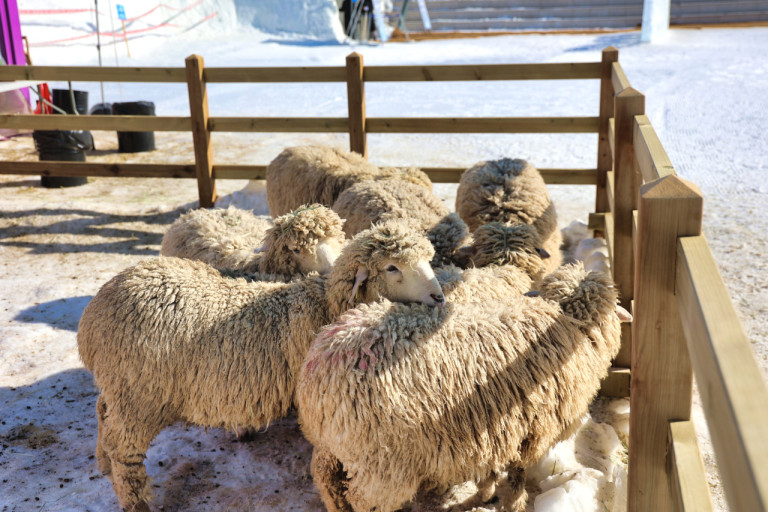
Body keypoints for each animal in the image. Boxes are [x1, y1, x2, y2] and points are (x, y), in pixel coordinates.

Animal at [77, 220, 445, 512]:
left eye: (426, 260)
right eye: (392, 267)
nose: (439, 297)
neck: (325, 305)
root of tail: (94, 315)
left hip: (120, 387)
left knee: (102, 412)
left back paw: (102, 463)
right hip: (139, 396)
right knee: (124, 450)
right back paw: (134, 500)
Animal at [297, 263, 631, 512]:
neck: (567, 325)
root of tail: (322, 366)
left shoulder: (494, 429)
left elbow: (492, 467)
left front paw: (485, 492)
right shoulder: (532, 429)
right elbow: (517, 475)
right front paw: (512, 502)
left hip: (333, 446)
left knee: (327, 481)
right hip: (381, 462)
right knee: (365, 501)